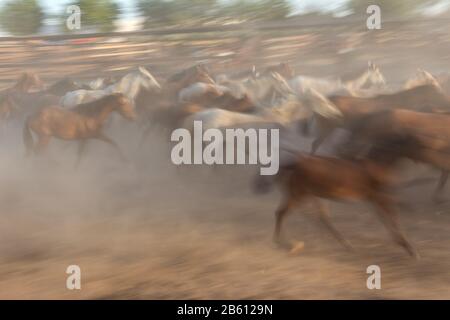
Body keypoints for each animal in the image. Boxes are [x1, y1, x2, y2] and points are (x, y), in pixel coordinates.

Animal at [255, 136, 420, 258]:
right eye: (415, 144)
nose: (420, 158)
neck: (377, 165)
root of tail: (292, 163)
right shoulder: (381, 197)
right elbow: (393, 217)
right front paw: (410, 249)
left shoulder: (374, 199)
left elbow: (387, 219)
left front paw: (405, 245)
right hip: (300, 195)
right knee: (283, 213)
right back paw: (284, 243)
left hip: (308, 195)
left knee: (319, 218)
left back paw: (343, 245)